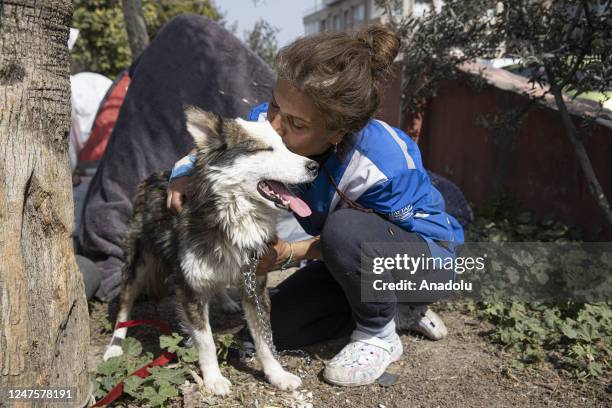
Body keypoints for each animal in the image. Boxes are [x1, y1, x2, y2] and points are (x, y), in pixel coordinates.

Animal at [102, 107, 318, 396]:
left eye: (285, 146)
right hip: (137, 262)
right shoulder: (190, 289)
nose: (314, 166)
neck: (233, 216)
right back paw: (115, 345)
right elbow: (205, 341)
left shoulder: (255, 284)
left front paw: (277, 374)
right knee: (125, 306)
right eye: (264, 149)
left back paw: (225, 300)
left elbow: (264, 337)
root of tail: (153, 176)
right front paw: (214, 379)